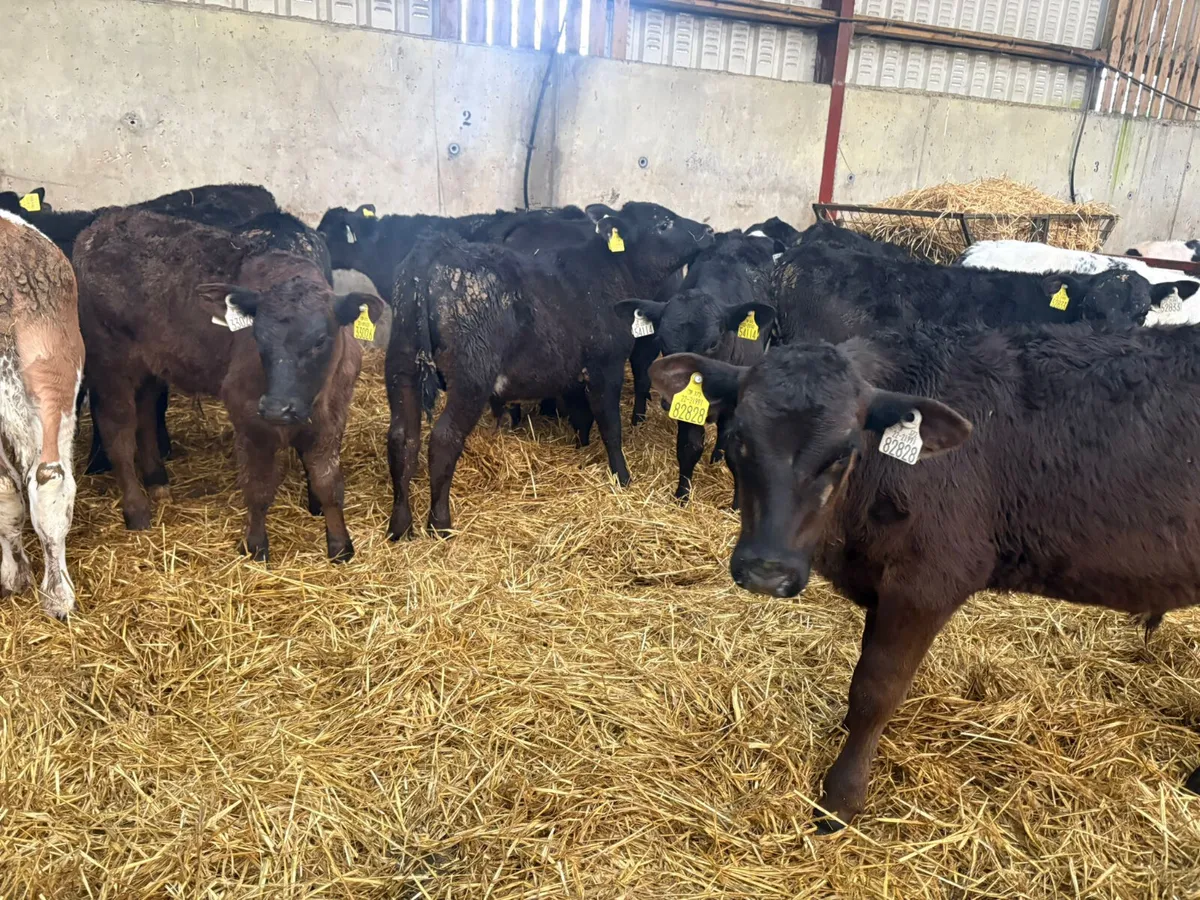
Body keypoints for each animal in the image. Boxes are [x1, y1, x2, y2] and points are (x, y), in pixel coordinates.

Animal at [72, 210, 381, 563]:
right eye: (257, 337)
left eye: (320, 340)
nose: (276, 408)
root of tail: (100, 226)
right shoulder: (248, 415)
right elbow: (258, 487)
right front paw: (256, 545)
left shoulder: (334, 414)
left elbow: (328, 483)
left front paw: (340, 546)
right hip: (110, 363)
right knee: (119, 435)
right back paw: (137, 510)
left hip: (150, 364)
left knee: (147, 415)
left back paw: (158, 482)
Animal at [386, 201, 714, 539]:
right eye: (664, 224)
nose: (708, 230)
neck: (610, 274)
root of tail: (437, 248)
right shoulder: (605, 366)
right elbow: (610, 426)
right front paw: (622, 476)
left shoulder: (571, 374)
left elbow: (582, 418)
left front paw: (581, 451)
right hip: (470, 376)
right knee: (443, 439)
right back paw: (440, 524)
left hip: (402, 366)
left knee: (402, 438)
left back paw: (400, 526)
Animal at [650, 319, 1200, 829]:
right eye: (737, 438)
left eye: (844, 453)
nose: (767, 570)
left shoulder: (928, 582)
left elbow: (876, 690)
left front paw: (841, 798)